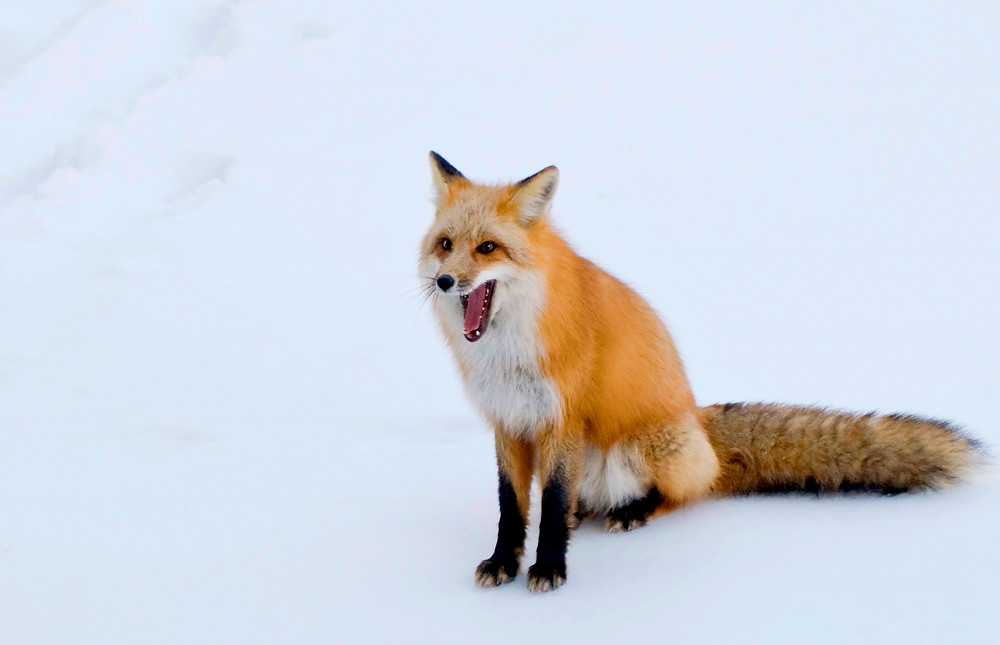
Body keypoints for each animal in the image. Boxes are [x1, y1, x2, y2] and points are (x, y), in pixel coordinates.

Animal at [418, 151, 981, 593]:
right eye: (446, 244)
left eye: (488, 248)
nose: (445, 281)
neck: (507, 352)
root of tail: (698, 416)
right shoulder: (508, 421)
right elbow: (512, 506)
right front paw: (503, 563)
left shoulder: (562, 420)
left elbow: (552, 505)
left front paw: (550, 568)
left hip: (638, 449)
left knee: (684, 492)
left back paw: (632, 512)